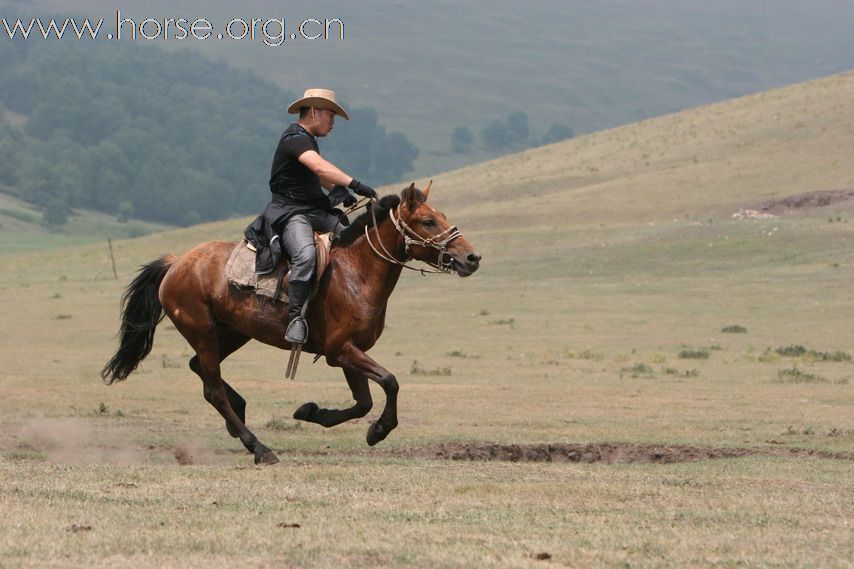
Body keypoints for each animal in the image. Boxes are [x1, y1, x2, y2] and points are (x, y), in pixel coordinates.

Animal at [102, 184, 482, 464]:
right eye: (428, 221)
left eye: (442, 217)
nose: (471, 257)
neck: (356, 272)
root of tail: (177, 262)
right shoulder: (341, 350)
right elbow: (390, 381)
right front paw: (379, 430)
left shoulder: (347, 353)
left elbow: (363, 402)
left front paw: (312, 412)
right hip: (203, 331)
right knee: (212, 389)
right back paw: (259, 447)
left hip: (233, 333)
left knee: (201, 370)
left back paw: (239, 414)